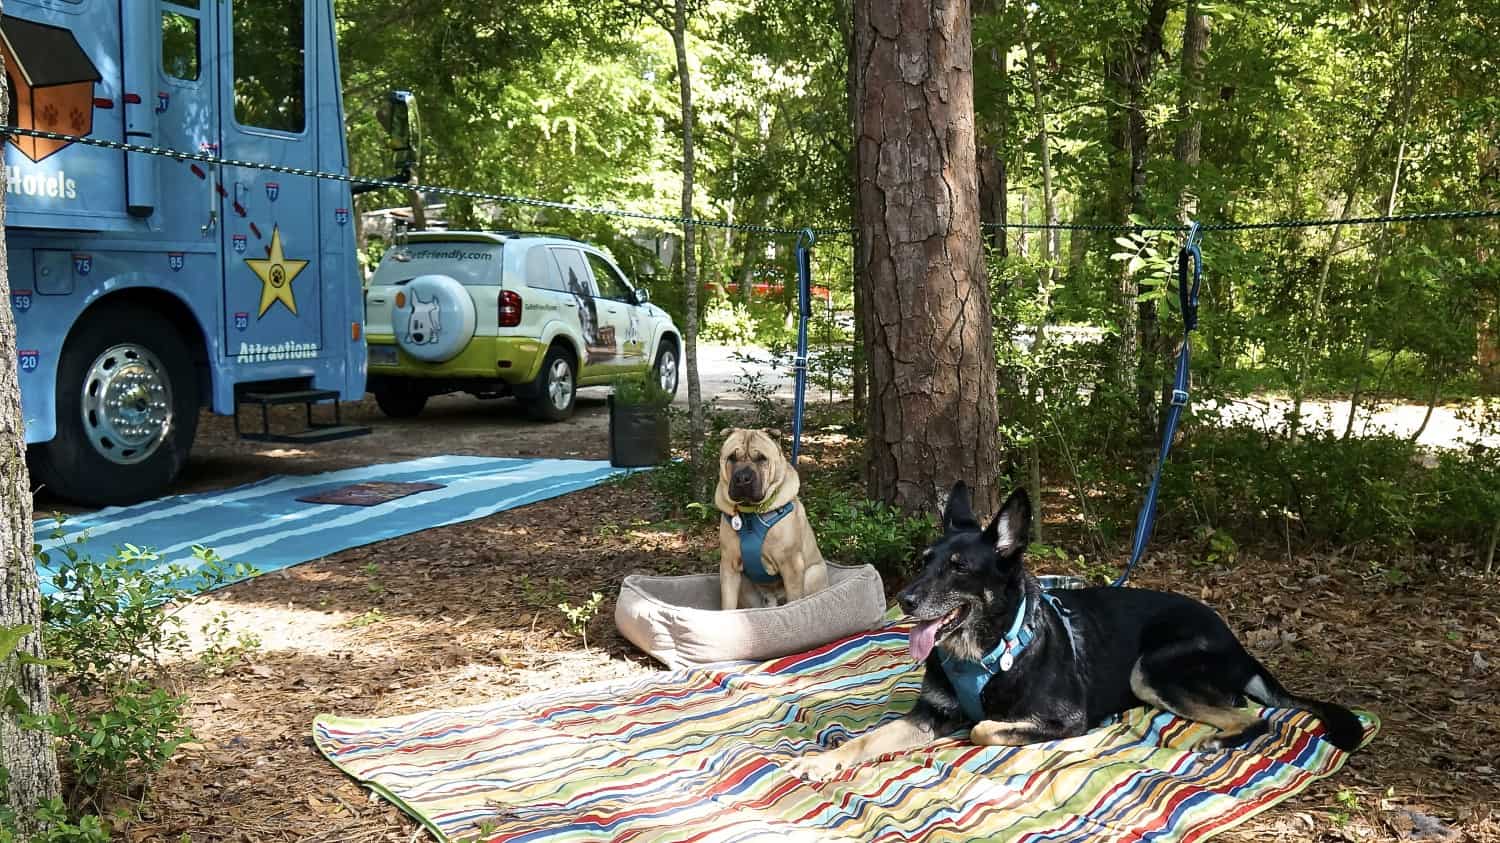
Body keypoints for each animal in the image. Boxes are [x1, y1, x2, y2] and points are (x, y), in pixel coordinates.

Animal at [714, 426, 834, 603]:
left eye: (761, 458)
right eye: (732, 458)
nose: (742, 478)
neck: (750, 516)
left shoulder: (792, 566)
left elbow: (795, 601)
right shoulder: (729, 566)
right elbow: (727, 604)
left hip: (813, 574)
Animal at [786, 480, 1362, 780]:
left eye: (959, 568)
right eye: (925, 561)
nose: (904, 601)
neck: (988, 651)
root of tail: (1237, 643)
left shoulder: (1063, 720)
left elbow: (981, 728)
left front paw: (967, 737)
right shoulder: (929, 713)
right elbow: (874, 736)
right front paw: (829, 759)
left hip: (1150, 669)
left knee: (1253, 717)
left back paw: (1216, 743)